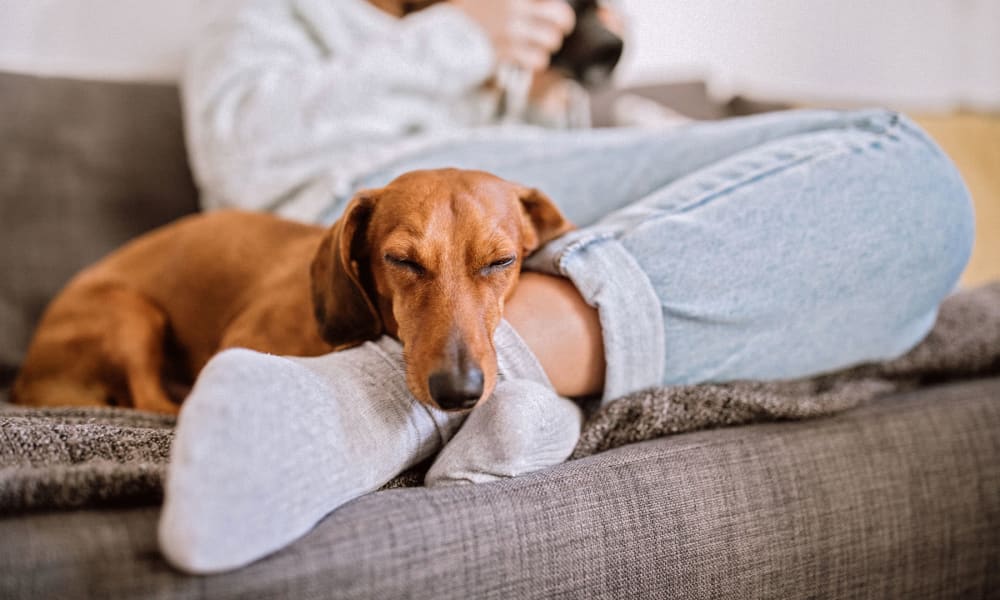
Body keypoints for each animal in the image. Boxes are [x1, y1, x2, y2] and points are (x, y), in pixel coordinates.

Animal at [13, 169, 572, 412]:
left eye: (502, 262)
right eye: (401, 260)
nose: (459, 392)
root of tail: (25, 380)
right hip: (130, 314)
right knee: (150, 401)